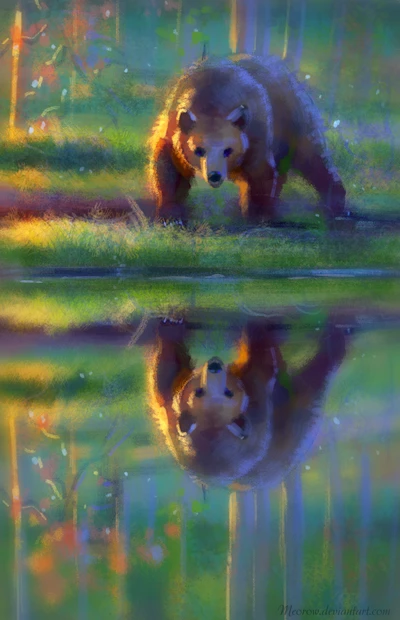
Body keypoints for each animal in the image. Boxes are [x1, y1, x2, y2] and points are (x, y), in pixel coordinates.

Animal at [147, 53, 346, 226]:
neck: (211, 99)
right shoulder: (173, 129)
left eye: (228, 149)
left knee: (313, 157)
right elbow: (168, 168)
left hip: (294, 117)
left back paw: (336, 202)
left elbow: (261, 172)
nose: (214, 175)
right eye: (199, 149)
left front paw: (257, 213)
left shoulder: (257, 132)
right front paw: (170, 214)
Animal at [148, 314, 350, 490]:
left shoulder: (171, 410)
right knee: (313, 379)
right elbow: (263, 368)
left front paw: (170, 325)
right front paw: (256, 330)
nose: (214, 365)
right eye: (200, 392)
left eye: (227, 392)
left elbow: (166, 375)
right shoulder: (259, 414)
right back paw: (335, 344)